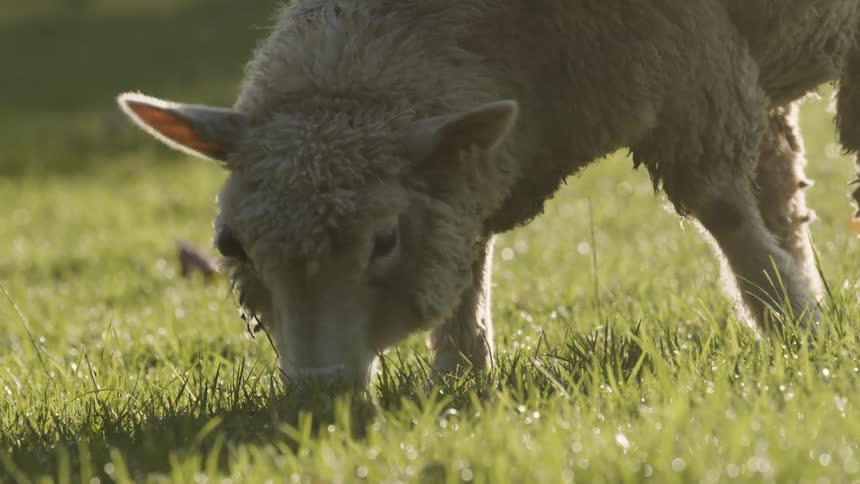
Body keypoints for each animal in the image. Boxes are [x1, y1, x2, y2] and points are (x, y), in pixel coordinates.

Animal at [117, 0, 860, 386]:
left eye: (384, 241)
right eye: (229, 243)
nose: (320, 391)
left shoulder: (691, 70)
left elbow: (725, 214)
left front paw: (792, 327)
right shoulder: (471, 161)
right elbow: (467, 254)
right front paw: (460, 375)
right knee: (780, 176)